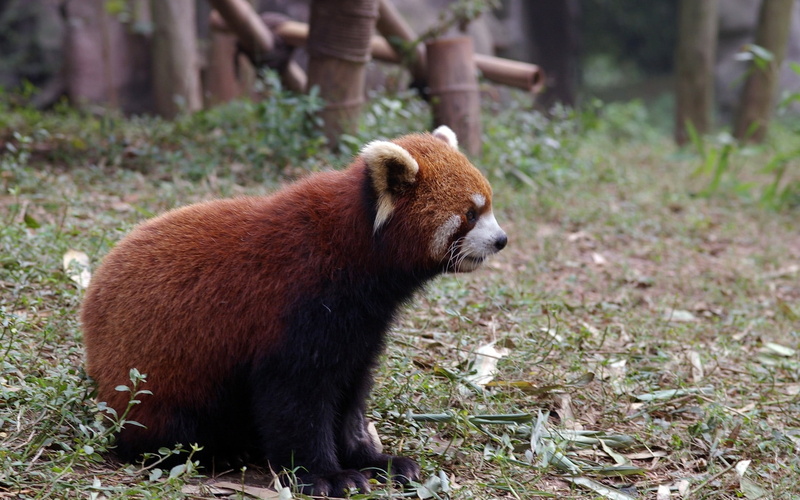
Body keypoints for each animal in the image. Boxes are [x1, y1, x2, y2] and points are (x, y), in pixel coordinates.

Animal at [81, 126, 507, 496]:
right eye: (470, 214)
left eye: (489, 206)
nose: (501, 240)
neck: (357, 253)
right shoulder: (296, 304)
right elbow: (296, 400)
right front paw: (327, 476)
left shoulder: (362, 326)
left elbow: (350, 397)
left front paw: (374, 460)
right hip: (159, 379)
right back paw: (219, 452)